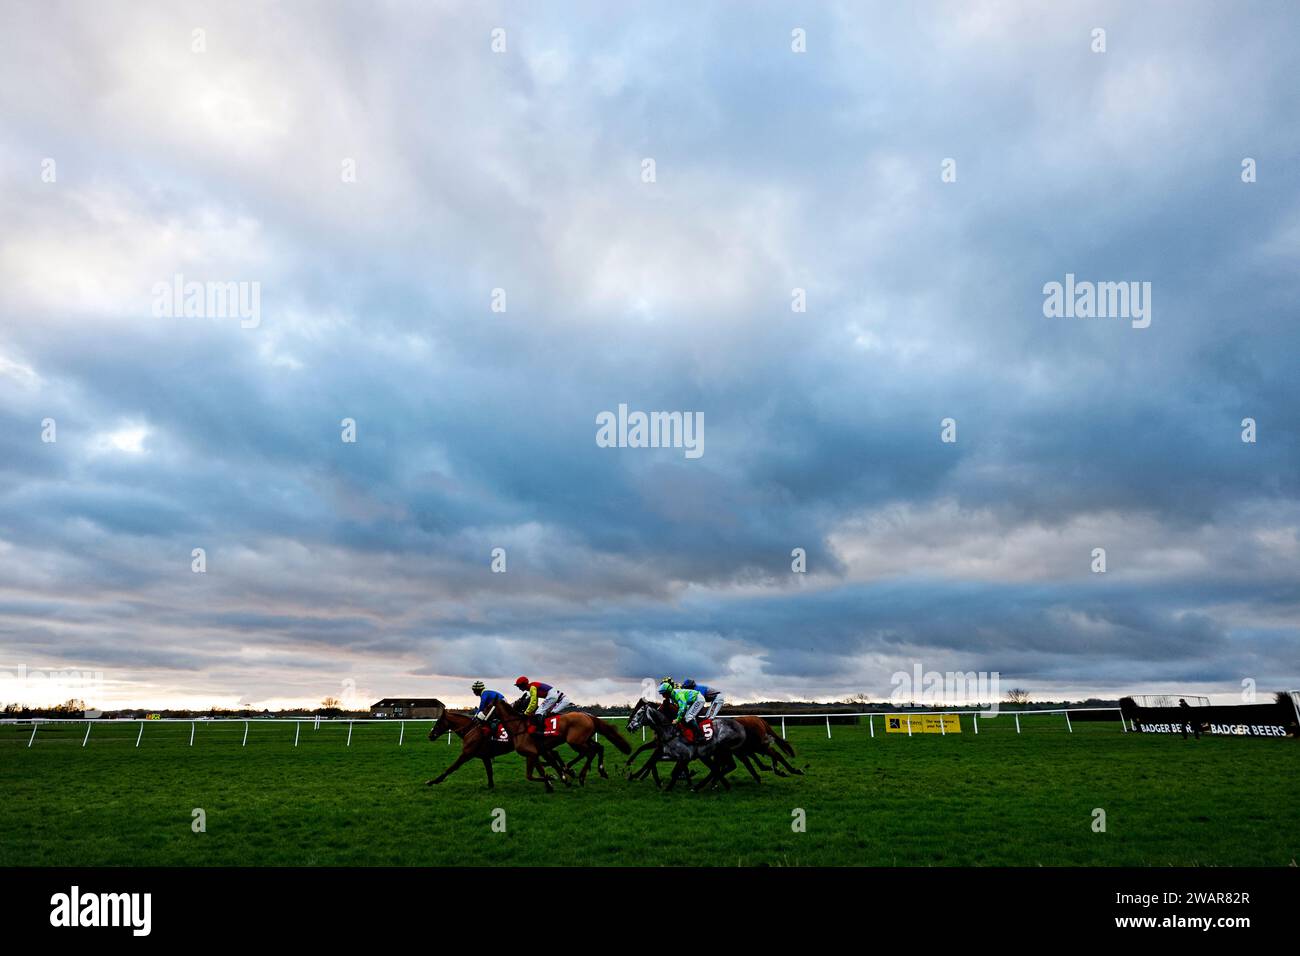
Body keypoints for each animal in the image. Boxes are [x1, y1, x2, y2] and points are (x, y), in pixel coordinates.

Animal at [426, 697, 569, 790]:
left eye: (438, 722)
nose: (430, 735)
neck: (471, 729)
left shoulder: (466, 754)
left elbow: (450, 768)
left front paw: (432, 781)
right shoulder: (485, 756)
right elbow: (489, 771)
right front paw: (490, 786)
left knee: (552, 758)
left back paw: (561, 776)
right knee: (552, 756)